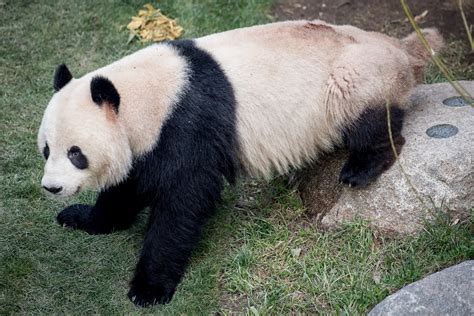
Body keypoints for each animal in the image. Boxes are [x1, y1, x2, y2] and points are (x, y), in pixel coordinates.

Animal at [38, 20, 444, 306]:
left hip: (357, 77)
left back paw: (362, 167)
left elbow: (183, 201)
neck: (149, 93)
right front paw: (82, 217)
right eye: (46, 149)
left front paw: (148, 288)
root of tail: (400, 47)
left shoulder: (187, 125)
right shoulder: (150, 141)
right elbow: (128, 187)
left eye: (76, 153)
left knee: (370, 118)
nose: (52, 188)